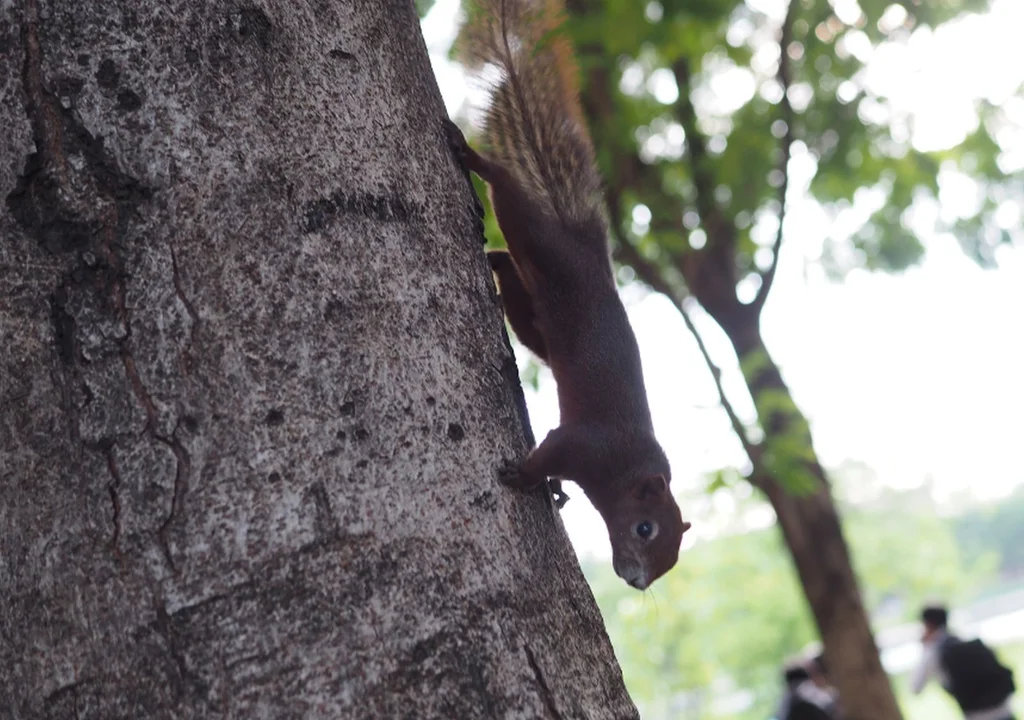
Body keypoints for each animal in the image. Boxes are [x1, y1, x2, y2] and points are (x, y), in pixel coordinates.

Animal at [446, 0, 688, 589]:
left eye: (670, 559)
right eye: (645, 528)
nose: (637, 580)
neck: (627, 471)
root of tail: (586, 248)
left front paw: (552, 490)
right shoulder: (585, 444)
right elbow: (550, 449)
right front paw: (525, 476)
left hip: (536, 315)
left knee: (509, 268)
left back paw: (492, 259)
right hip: (542, 241)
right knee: (506, 193)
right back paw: (469, 155)